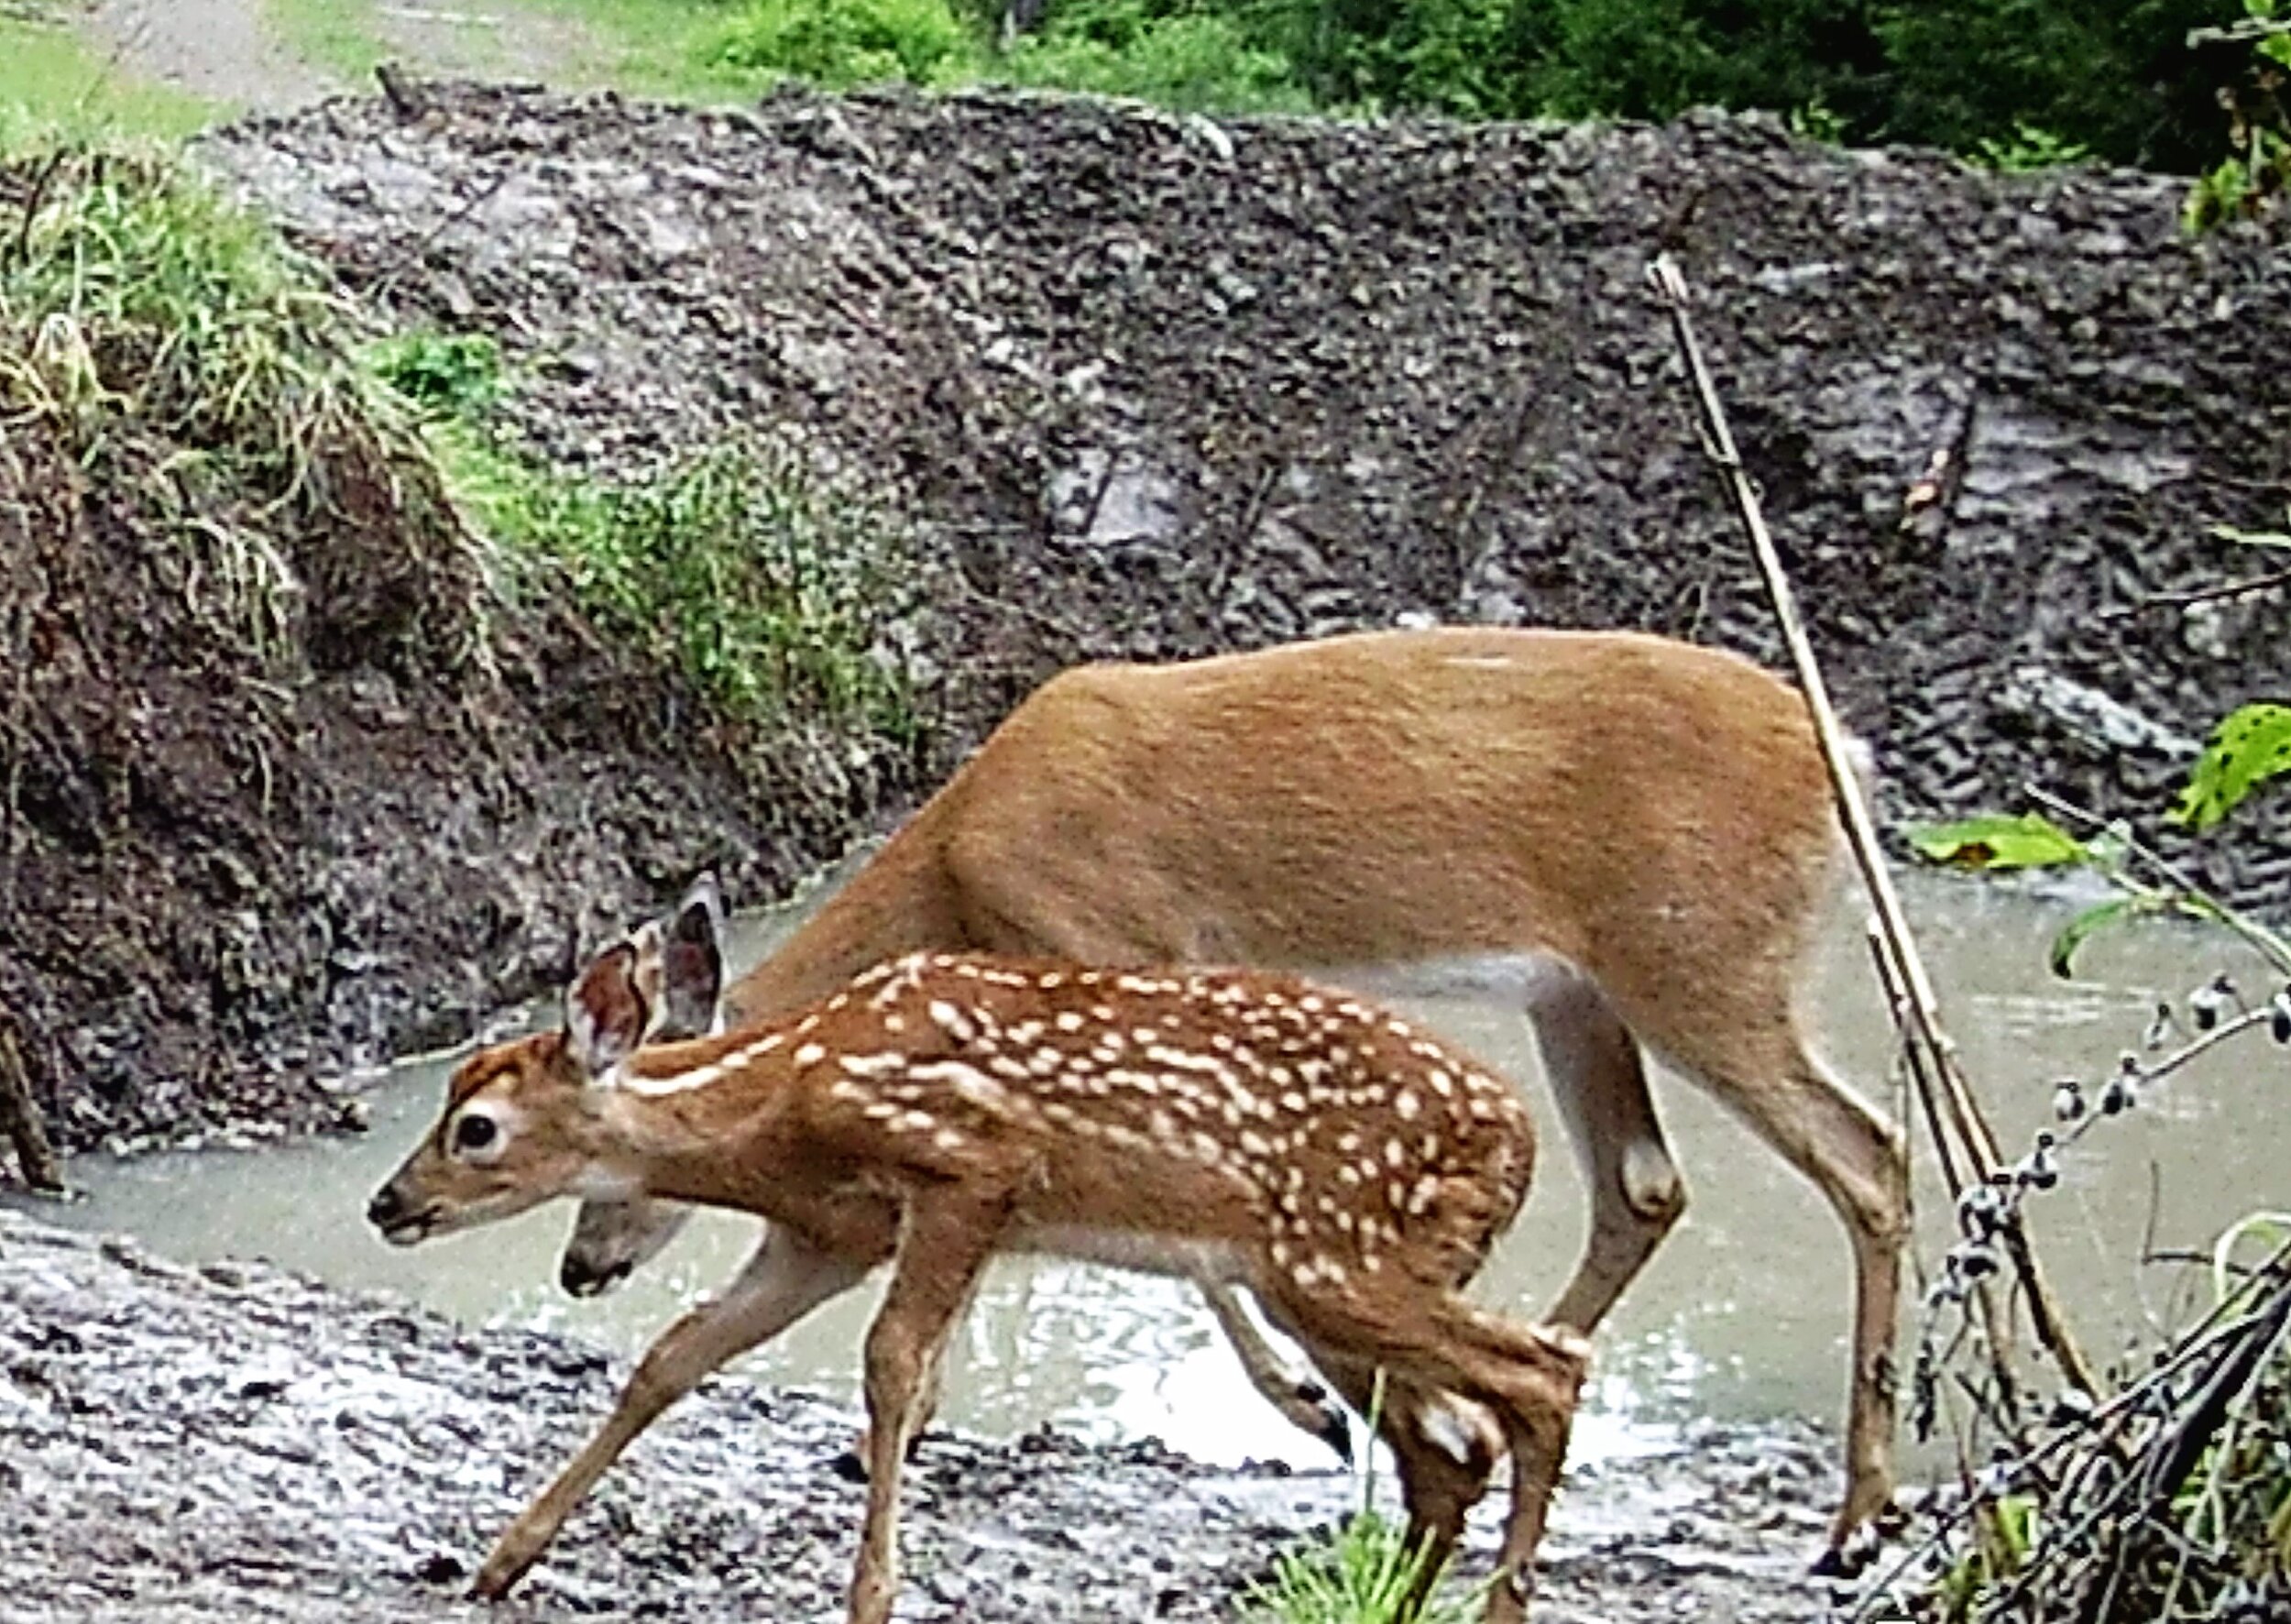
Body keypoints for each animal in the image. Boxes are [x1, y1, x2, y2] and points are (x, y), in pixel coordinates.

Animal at [376, 925, 1595, 1621]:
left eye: (475, 1128)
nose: (387, 1202)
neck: (792, 1094)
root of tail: (1520, 1139)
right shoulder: (828, 1232)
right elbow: (673, 1356)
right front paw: (500, 1561)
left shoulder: (972, 1169)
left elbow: (892, 1369)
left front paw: (871, 1596)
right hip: (1331, 1284)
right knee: (1452, 1447)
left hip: (1338, 1260)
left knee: (1542, 1372)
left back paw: (1498, 1607)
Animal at [564, 622, 1906, 1557]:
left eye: (631, 1138)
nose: (580, 1267)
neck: (960, 860)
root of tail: (1845, 761)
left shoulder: (1121, 945)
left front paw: (1309, 1407)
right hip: (1578, 991)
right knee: (1645, 1185)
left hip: (1699, 954)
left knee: (1869, 1152)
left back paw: (1855, 1520)